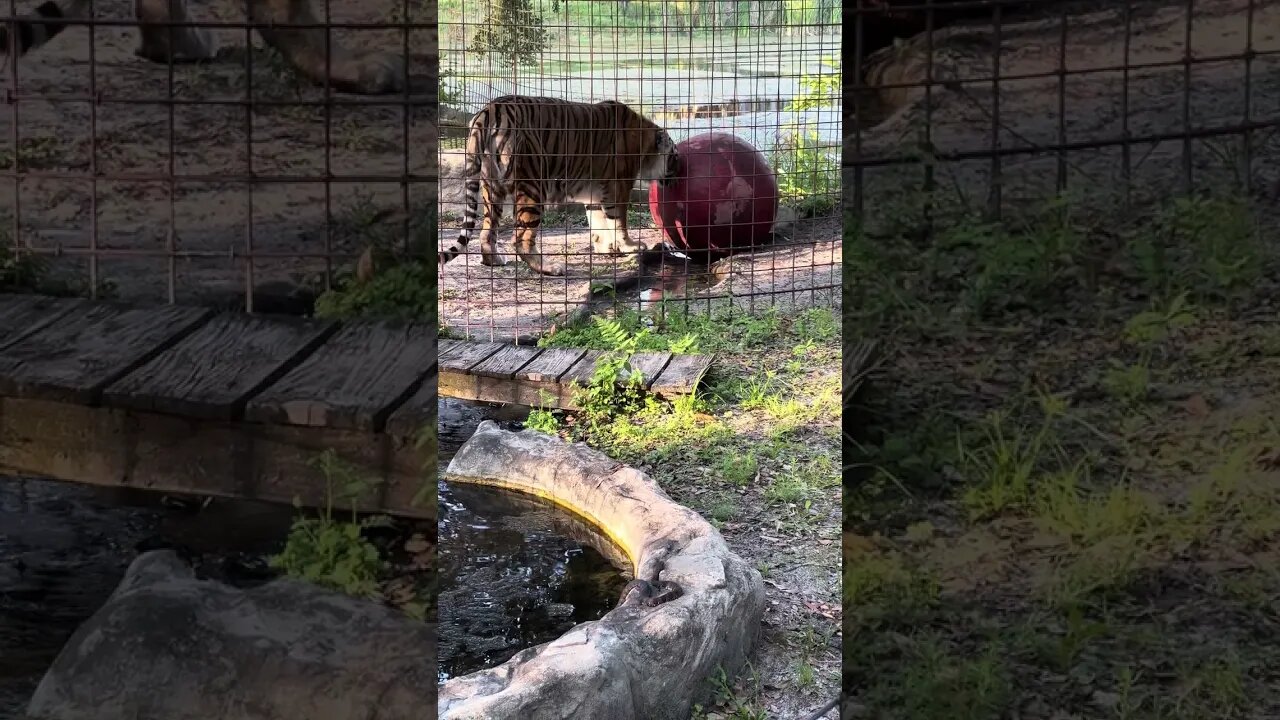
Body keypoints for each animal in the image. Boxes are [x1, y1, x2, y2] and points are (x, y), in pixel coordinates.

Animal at [437, 95, 686, 274]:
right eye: (674, 158)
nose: (676, 178)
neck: (646, 144)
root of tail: (490, 109)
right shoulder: (619, 186)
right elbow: (618, 221)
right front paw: (629, 246)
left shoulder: (595, 193)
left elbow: (598, 223)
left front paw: (605, 247)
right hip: (533, 184)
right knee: (520, 239)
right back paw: (549, 268)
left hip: (491, 186)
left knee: (487, 230)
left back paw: (494, 260)